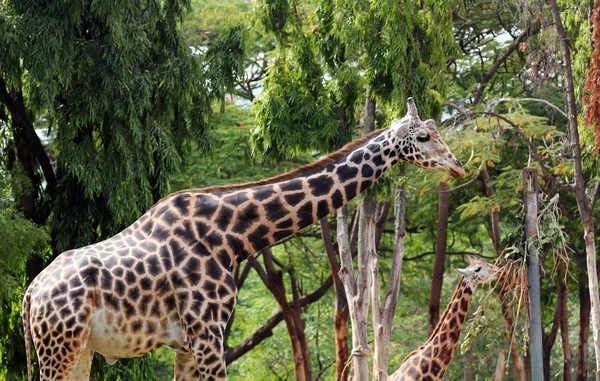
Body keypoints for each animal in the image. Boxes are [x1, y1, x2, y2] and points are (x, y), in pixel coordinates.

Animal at [22, 96, 464, 378]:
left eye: (436, 131)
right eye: (423, 137)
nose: (457, 166)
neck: (233, 236)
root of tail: (30, 295)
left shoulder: (189, 345)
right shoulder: (207, 335)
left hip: (79, 349)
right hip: (59, 346)